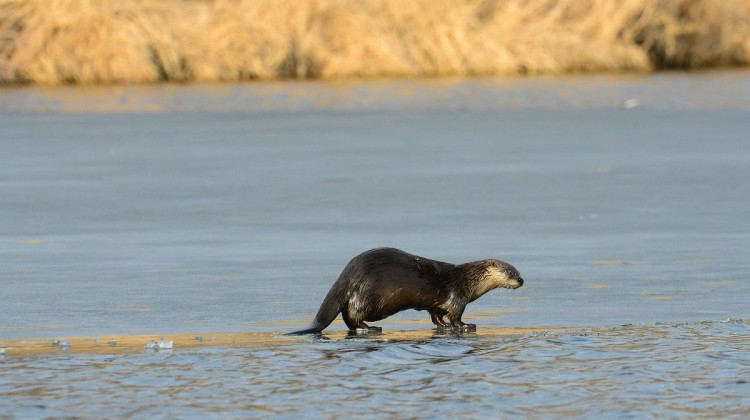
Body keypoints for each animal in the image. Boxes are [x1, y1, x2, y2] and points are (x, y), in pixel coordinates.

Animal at [284, 249, 524, 334]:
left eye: (519, 271)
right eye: (510, 272)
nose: (521, 280)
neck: (468, 279)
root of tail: (347, 275)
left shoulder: (434, 305)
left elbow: (436, 317)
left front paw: (444, 326)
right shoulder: (458, 297)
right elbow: (456, 316)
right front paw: (466, 326)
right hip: (369, 296)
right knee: (353, 315)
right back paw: (370, 328)